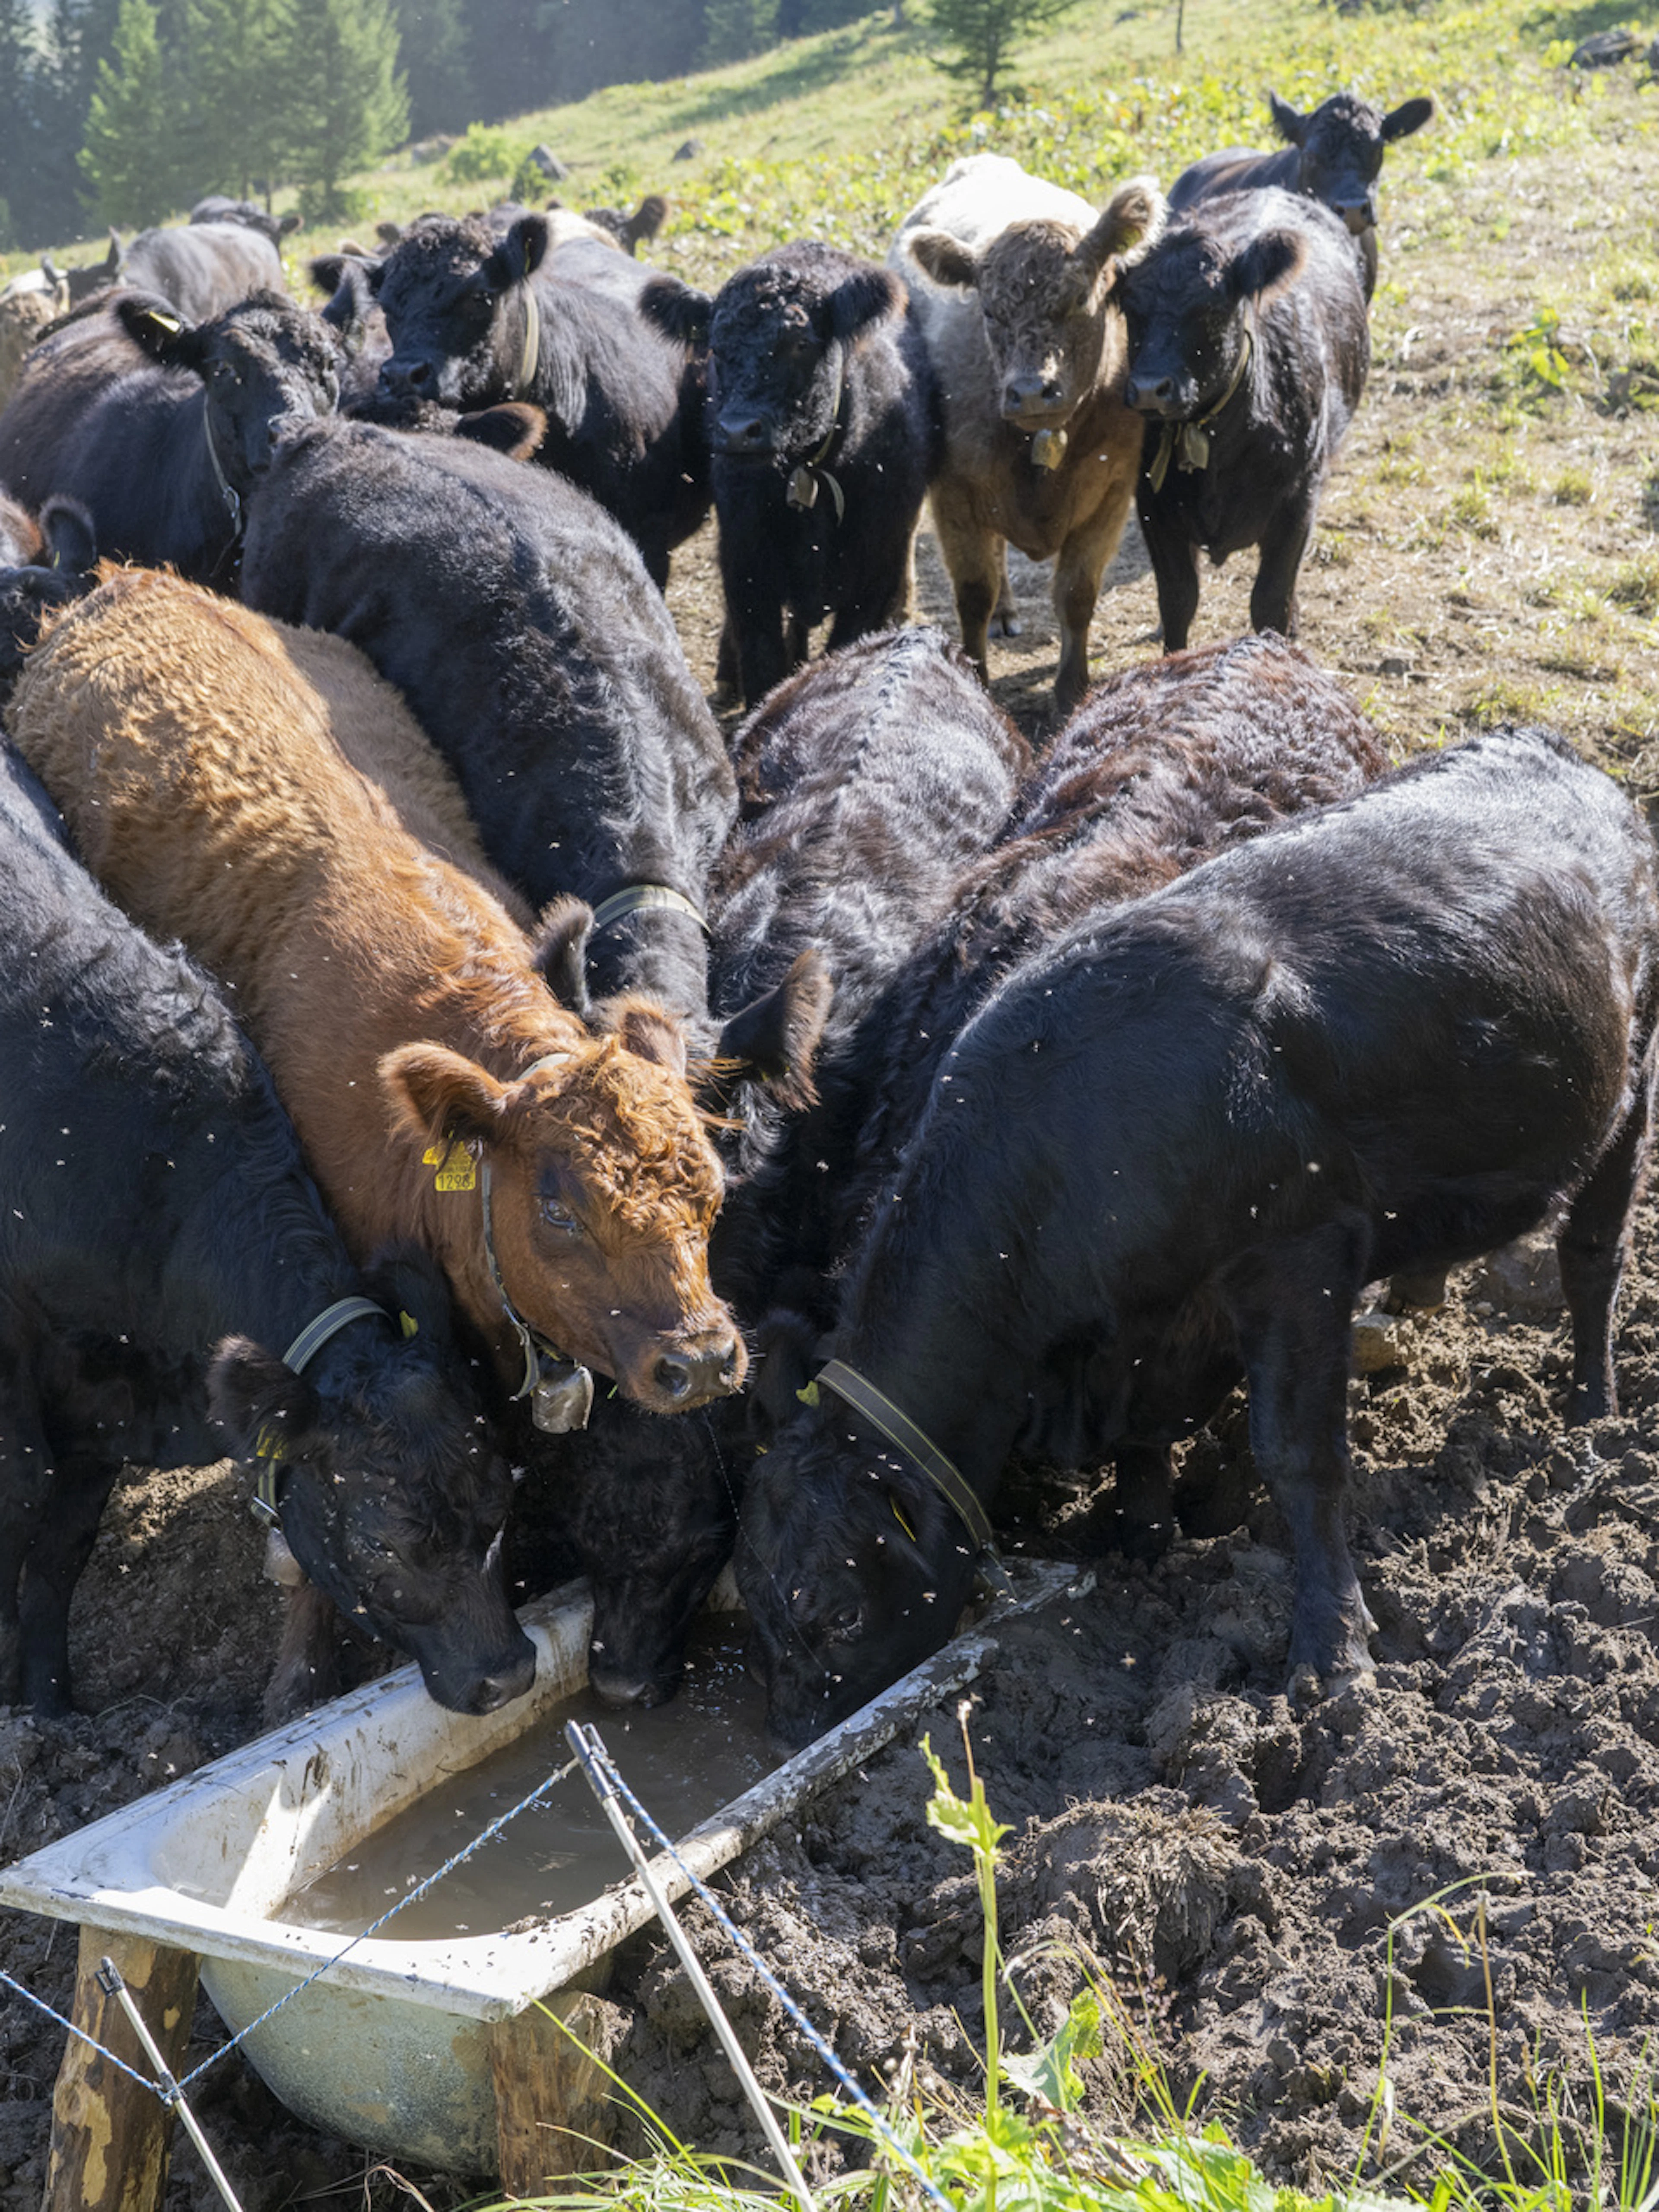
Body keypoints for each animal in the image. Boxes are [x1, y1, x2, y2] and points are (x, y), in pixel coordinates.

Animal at [0, 737, 535, 1722]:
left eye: (500, 1504)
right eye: (387, 1541)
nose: (509, 1674)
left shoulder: (100, 1406)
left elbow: (61, 1546)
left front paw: (49, 1709)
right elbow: (20, 1500)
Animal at [643, 243, 940, 707]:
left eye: (801, 344)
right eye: (716, 348)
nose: (738, 430)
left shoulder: (875, 574)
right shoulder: (747, 566)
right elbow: (763, 664)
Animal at [739, 727, 1659, 1747]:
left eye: (833, 1611)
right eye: (753, 1597)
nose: (787, 1730)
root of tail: (1548, 746)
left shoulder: (1297, 1251)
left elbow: (1300, 1456)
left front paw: (1332, 1654)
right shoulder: (1143, 1335)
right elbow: (1143, 1445)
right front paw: (1145, 1545)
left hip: (1630, 1085)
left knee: (1593, 1257)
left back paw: (1591, 1410)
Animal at [893, 153, 1165, 715]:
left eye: (1081, 299)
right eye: (989, 311)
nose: (1030, 391)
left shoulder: (1111, 494)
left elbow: (1077, 595)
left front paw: (1073, 689)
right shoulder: (955, 493)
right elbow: (973, 594)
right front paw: (975, 679)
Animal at [1120, 190, 1369, 654]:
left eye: (1211, 307)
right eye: (1130, 308)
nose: (1148, 388)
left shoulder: (1298, 500)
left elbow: (1270, 600)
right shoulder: (1153, 505)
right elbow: (1178, 599)